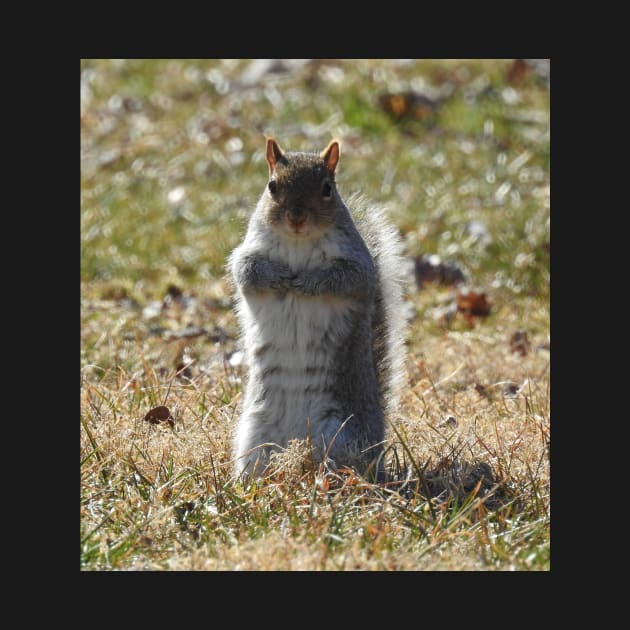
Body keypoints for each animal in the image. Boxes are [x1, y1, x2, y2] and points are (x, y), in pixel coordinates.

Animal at [230, 138, 408, 478]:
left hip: (339, 434)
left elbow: (346, 277)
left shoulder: (357, 264)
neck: (298, 242)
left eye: (327, 188)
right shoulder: (250, 251)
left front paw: (308, 282)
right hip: (255, 437)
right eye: (272, 186)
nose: (296, 218)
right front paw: (279, 277)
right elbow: (246, 271)